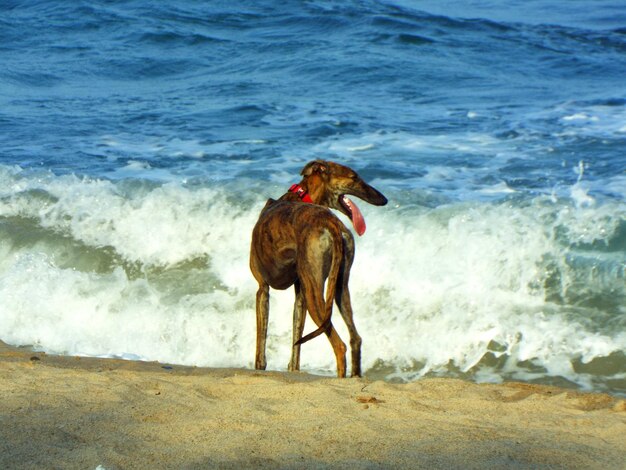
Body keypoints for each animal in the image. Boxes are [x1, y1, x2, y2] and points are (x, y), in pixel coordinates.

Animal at [249, 160, 386, 376]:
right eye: (354, 177)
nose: (384, 199)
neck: (303, 195)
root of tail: (332, 224)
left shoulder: (262, 289)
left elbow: (261, 343)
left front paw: (260, 368)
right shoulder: (300, 294)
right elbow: (296, 341)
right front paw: (293, 370)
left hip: (316, 296)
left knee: (340, 346)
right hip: (339, 289)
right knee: (355, 339)